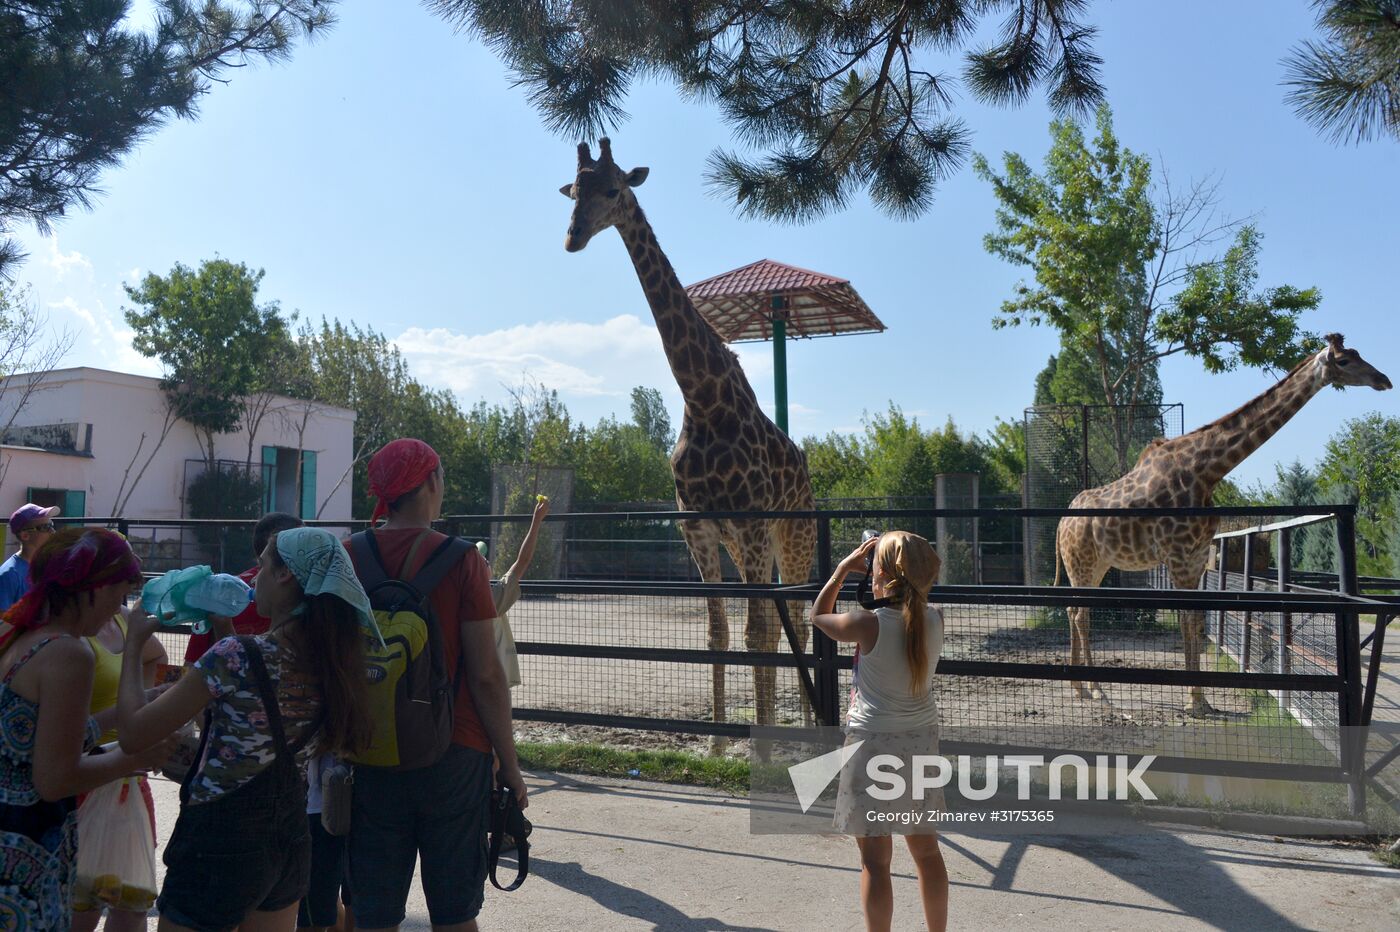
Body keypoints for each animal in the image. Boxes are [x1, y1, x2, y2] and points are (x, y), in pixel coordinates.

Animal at [560, 134, 817, 738]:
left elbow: (753, 633)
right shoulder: (699, 527)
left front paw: (760, 746)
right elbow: (717, 634)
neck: (703, 397)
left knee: (796, 617)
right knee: (780, 622)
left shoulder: (749, 523)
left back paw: (804, 731)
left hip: (791, 536)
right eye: (574, 192)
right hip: (749, 544)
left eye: (614, 189)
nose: (572, 237)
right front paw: (723, 742)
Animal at [1058, 334, 1388, 710]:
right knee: (1081, 614)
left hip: (1095, 565)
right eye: (1345, 361)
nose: (1383, 380)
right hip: (1081, 561)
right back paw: (1095, 688)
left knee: (1073, 610)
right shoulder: (1178, 555)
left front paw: (1201, 699)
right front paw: (1194, 701)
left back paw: (1081, 687)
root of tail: (1061, 523)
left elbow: (1197, 619)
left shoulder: (1198, 555)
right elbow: (1188, 619)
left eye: (1359, 354)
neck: (1208, 471)